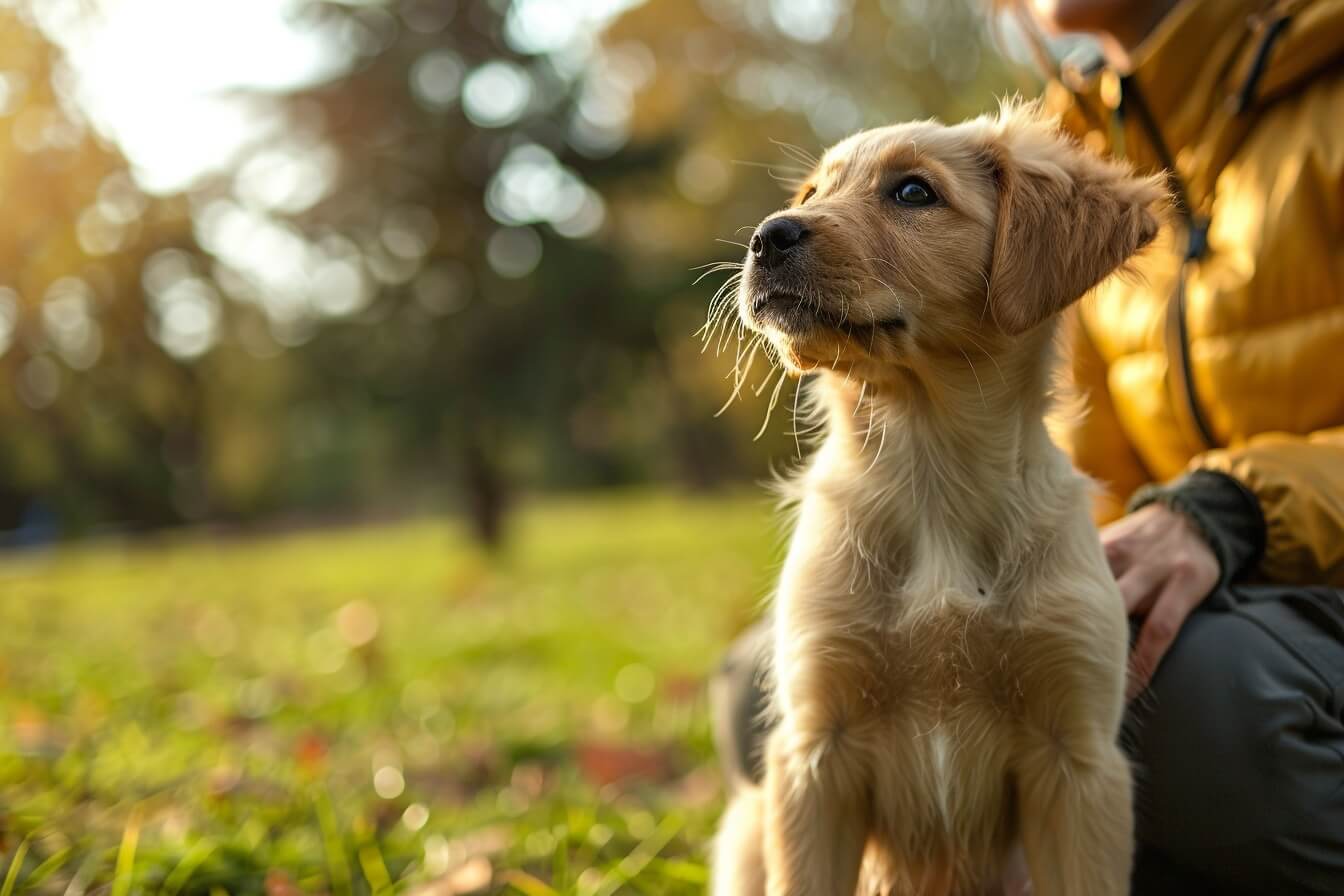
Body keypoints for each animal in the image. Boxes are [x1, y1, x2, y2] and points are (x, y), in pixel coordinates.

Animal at [715, 100, 1166, 896]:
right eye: (811, 194)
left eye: (913, 193)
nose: (766, 238)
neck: (931, 472)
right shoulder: (815, 752)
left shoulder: (1078, 761)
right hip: (747, 830)